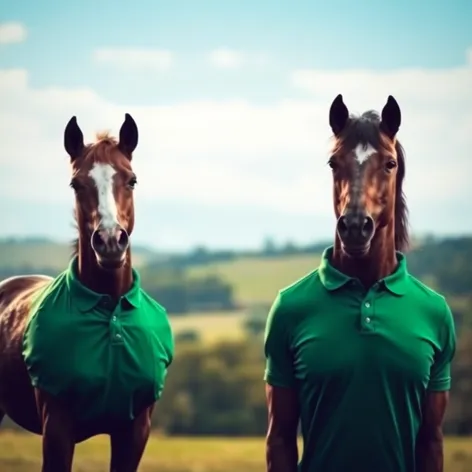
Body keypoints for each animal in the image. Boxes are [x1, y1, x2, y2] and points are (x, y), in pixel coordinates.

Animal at [0, 115, 159, 472]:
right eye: (76, 184)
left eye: (132, 180)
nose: (111, 241)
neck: (109, 309)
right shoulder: (57, 429)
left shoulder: (134, 432)